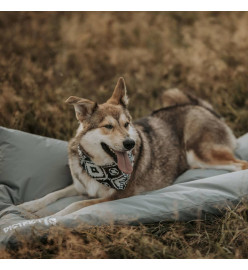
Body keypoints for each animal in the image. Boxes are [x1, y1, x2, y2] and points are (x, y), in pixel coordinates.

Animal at [18, 77, 248, 216]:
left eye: (127, 124)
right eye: (108, 126)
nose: (130, 143)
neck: (100, 167)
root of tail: (201, 107)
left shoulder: (115, 197)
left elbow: (73, 206)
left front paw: (43, 219)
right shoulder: (79, 186)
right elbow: (52, 194)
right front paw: (28, 206)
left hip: (201, 155)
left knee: (240, 165)